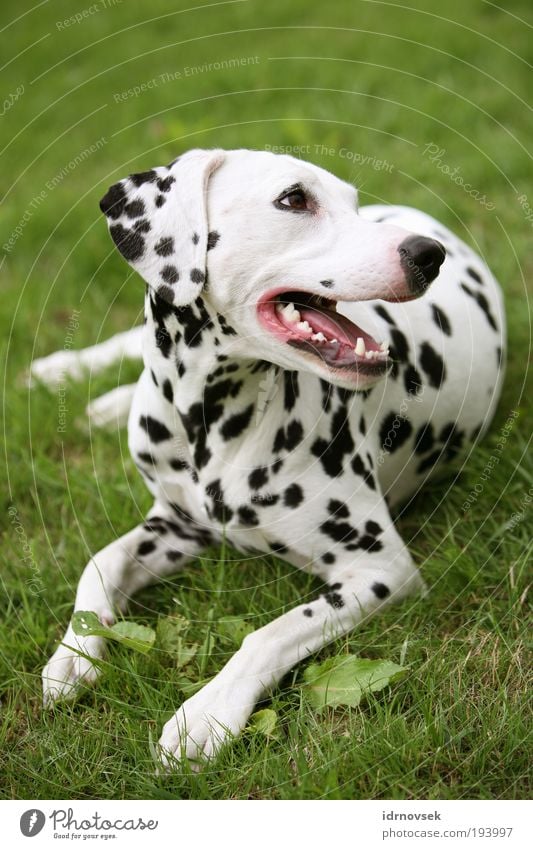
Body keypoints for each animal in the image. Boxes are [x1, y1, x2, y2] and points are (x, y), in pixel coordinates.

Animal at [39, 147, 504, 768]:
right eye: (294, 199)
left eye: (351, 202)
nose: (429, 255)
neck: (210, 422)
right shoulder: (176, 526)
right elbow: (99, 562)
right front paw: (75, 651)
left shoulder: (380, 570)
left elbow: (268, 633)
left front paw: (207, 711)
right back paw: (66, 374)